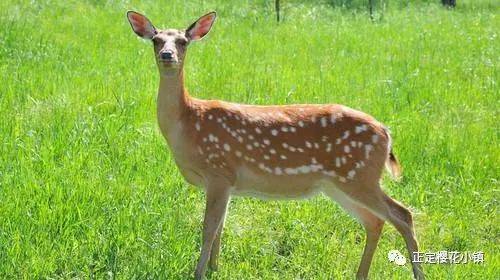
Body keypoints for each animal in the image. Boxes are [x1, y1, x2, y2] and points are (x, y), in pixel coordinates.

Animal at [127, 10, 424, 280]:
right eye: (156, 40)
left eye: (183, 41)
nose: (168, 55)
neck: (187, 123)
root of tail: (385, 132)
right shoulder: (227, 183)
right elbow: (220, 227)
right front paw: (214, 268)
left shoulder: (219, 171)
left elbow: (209, 227)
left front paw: (199, 273)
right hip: (339, 183)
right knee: (375, 221)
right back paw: (361, 275)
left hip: (359, 175)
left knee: (402, 214)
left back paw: (417, 273)